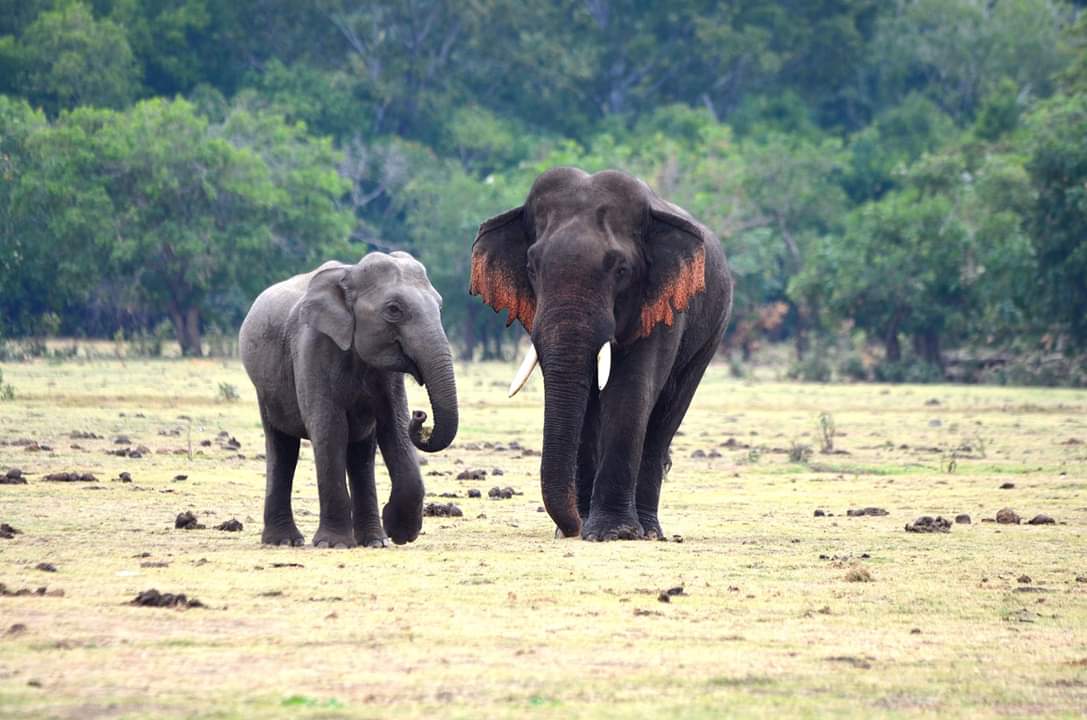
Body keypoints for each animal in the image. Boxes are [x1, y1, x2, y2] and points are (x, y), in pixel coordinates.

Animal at [239, 251, 458, 548]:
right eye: (393, 310)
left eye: (440, 306)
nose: (420, 415)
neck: (349, 274)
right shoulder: (311, 349)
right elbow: (330, 429)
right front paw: (335, 544)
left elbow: (394, 428)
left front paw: (398, 532)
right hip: (265, 389)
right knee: (283, 446)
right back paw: (284, 541)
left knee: (360, 454)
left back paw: (374, 541)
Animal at [470, 167, 732, 541]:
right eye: (532, 268)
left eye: (621, 270)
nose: (572, 529)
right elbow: (586, 404)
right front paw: (580, 528)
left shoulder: (662, 304)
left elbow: (630, 391)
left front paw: (614, 533)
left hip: (711, 334)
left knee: (666, 415)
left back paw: (649, 532)